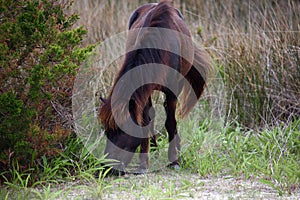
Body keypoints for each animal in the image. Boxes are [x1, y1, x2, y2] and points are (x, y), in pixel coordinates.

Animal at [99, 0, 211, 173]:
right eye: (106, 131)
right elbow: (146, 119)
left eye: (122, 130)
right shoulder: (144, 89)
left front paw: (174, 160)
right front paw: (144, 162)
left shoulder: (173, 90)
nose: (108, 168)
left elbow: (170, 122)